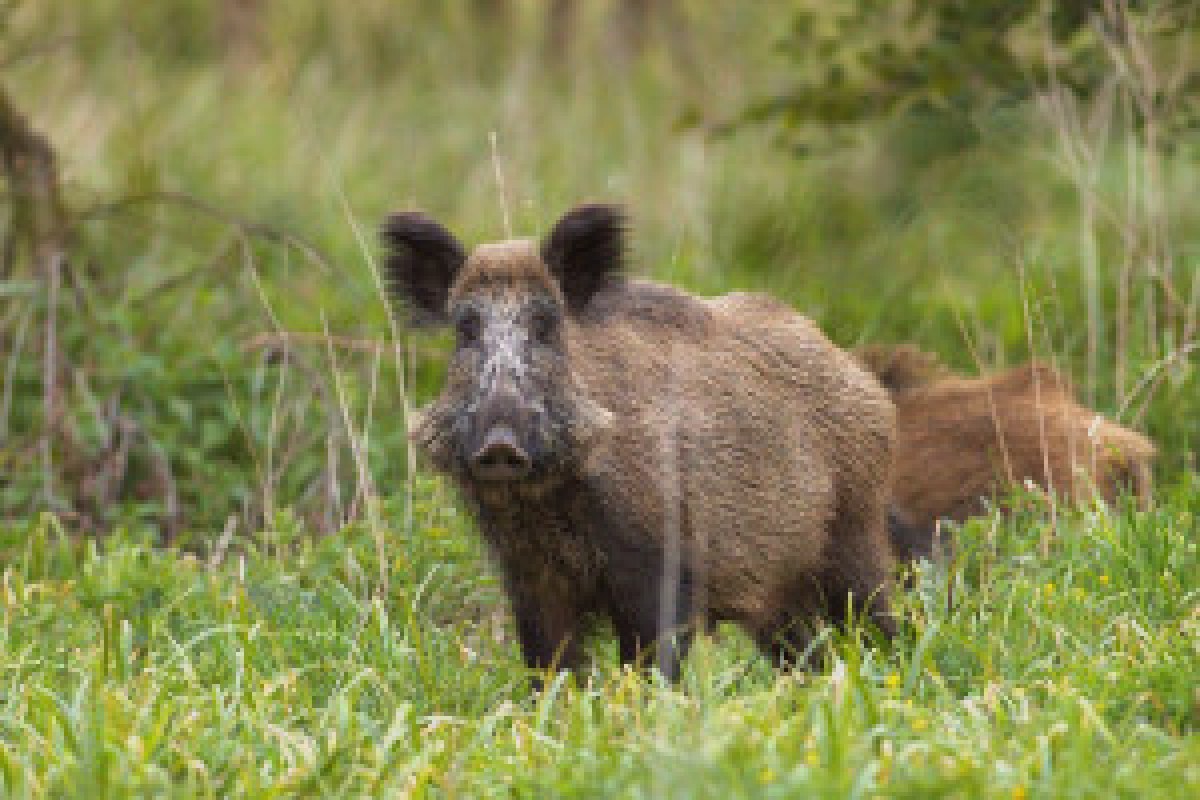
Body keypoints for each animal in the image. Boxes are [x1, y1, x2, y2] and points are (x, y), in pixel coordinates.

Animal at [383, 204, 899, 679]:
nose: (500, 445)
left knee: (879, 622)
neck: (544, 504)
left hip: (854, 534)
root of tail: (862, 378)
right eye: (465, 329)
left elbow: (651, 663)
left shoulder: (659, 565)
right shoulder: (530, 578)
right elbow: (550, 666)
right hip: (778, 593)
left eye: (545, 324)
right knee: (807, 655)